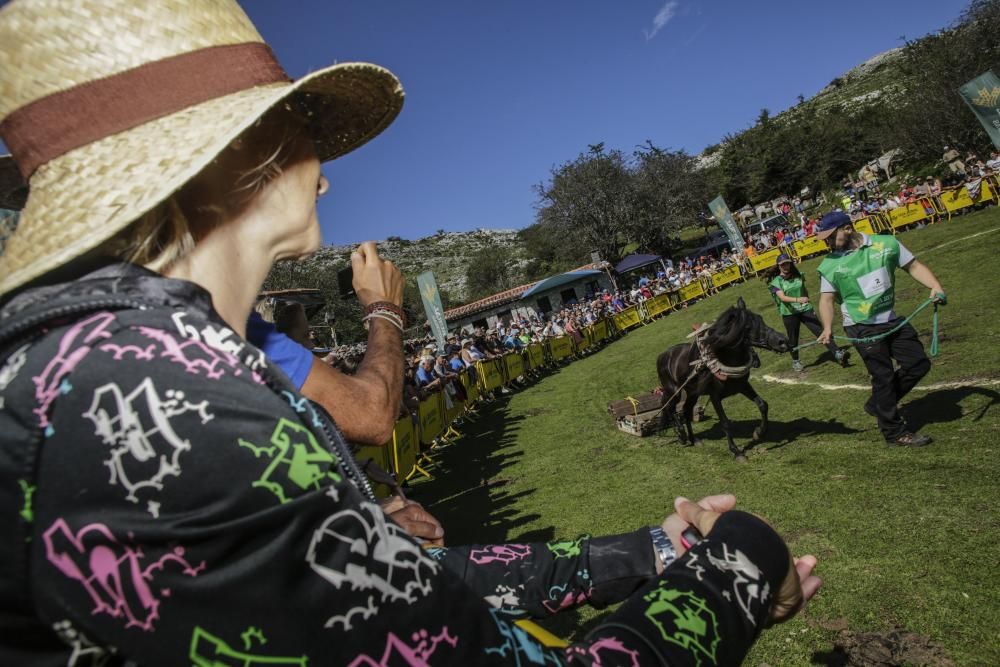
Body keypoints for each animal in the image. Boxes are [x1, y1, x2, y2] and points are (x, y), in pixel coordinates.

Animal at [656, 300, 788, 462]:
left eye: (761, 319)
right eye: (747, 327)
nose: (783, 341)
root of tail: (663, 355)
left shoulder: (742, 386)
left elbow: (763, 405)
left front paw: (759, 432)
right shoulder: (714, 396)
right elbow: (725, 423)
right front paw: (737, 452)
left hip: (693, 393)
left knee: (686, 411)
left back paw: (694, 439)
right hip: (673, 391)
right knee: (669, 408)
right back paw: (681, 435)